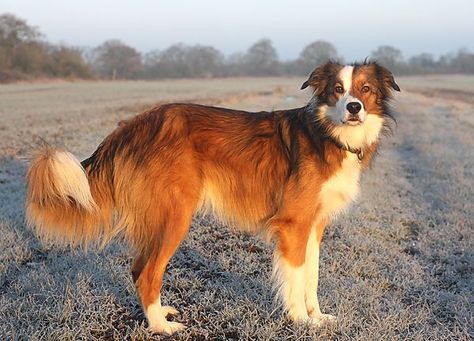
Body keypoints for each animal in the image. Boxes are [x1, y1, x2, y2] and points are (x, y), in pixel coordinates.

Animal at [25, 59, 400, 334]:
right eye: (338, 90)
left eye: (365, 89)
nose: (354, 107)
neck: (327, 133)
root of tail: (134, 124)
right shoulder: (293, 225)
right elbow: (294, 278)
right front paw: (298, 319)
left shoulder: (314, 227)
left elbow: (312, 276)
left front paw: (317, 317)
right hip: (175, 216)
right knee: (147, 273)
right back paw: (161, 327)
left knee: (137, 268)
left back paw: (160, 314)